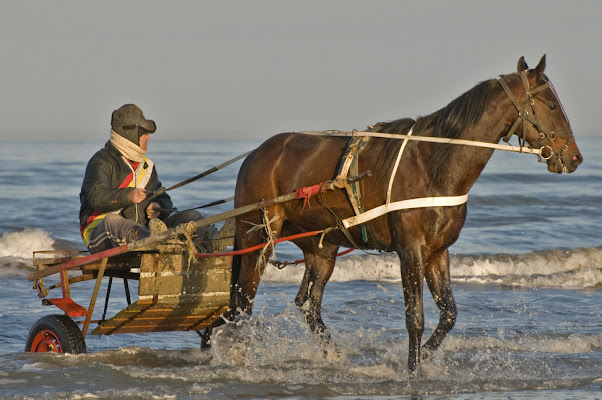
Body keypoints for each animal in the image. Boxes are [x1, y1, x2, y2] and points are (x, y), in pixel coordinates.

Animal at [224, 54, 576, 370]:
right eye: (552, 106)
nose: (575, 157)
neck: (434, 164)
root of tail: (256, 154)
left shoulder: (437, 252)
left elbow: (449, 315)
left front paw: (427, 356)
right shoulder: (411, 249)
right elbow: (415, 318)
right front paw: (412, 368)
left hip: (321, 248)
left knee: (308, 306)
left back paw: (332, 355)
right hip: (258, 239)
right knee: (243, 303)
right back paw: (240, 357)